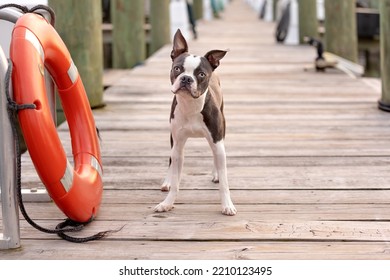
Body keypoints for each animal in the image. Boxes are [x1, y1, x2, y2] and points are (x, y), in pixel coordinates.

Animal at [154, 29, 236, 215]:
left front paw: (227, 205)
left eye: (201, 74)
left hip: (221, 132)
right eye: (177, 68)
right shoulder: (178, 145)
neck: (190, 105)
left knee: (216, 157)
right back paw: (167, 180)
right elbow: (175, 178)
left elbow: (224, 183)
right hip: (173, 138)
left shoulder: (217, 140)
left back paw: (216, 174)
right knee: (171, 160)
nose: (186, 79)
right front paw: (167, 202)